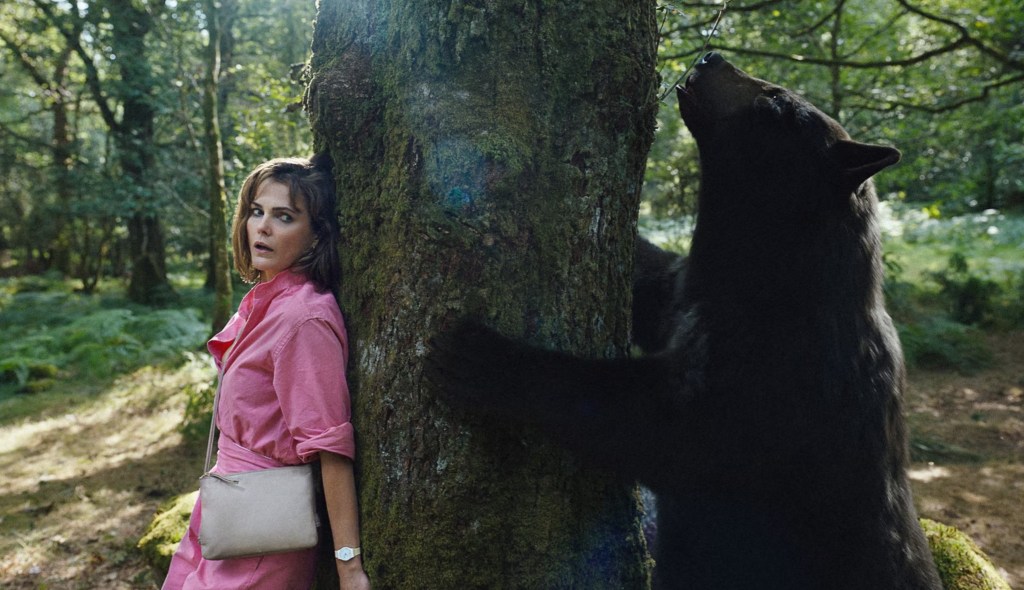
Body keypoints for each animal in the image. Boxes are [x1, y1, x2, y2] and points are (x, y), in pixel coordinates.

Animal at [426, 52, 943, 590]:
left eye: (775, 102)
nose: (712, 56)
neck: (770, 278)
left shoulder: (781, 381)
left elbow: (660, 427)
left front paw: (484, 358)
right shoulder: (685, 294)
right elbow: (650, 281)